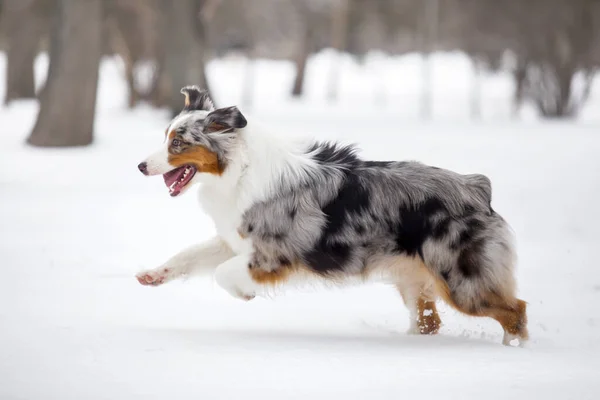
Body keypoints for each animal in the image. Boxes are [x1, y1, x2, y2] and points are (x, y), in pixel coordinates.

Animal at [137, 86, 528, 346]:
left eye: (177, 143)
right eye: (165, 137)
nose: (140, 166)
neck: (238, 170)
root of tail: (477, 187)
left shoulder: (273, 254)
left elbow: (222, 273)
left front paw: (244, 293)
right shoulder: (235, 238)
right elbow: (190, 255)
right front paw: (153, 275)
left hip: (461, 278)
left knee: (515, 311)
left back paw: (514, 351)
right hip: (413, 277)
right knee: (430, 322)